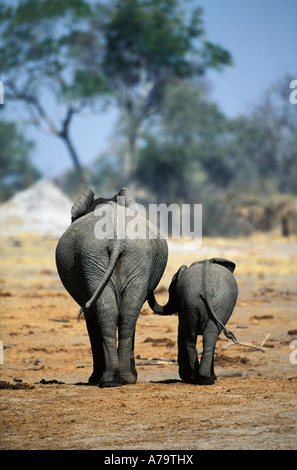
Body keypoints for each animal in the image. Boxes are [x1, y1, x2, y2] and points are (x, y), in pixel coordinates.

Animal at [55, 187, 166, 390]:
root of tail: (116, 240)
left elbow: (91, 319)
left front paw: (93, 379)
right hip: (119, 258)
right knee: (126, 313)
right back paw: (120, 379)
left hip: (99, 258)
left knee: (109, 313)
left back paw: (109, 380)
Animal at [148, 258, 238, 386]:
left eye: (171, 290)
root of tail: (205, 288)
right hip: (196, 301)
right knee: (203, 336)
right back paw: (201, 379)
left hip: (198, 301)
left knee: (199, 336)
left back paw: (200, 378)